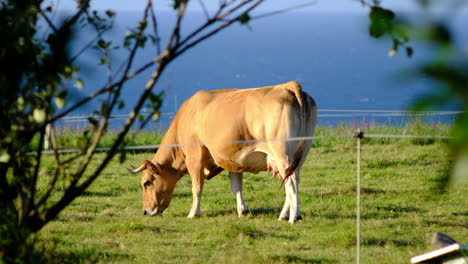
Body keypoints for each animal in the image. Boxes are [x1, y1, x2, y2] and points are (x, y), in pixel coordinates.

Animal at [128, 81, 318, 223]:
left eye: (146, 183)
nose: (145, 211)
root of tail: (288, 85)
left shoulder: (194, 156)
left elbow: (196, 187)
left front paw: (193, 213)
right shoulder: (232, 160)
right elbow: (236, 187)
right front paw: (242, 210)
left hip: (282, 154)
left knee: (291, 182)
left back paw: (293, 218)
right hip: (300, 153)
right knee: (295, 179)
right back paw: (286, 215)